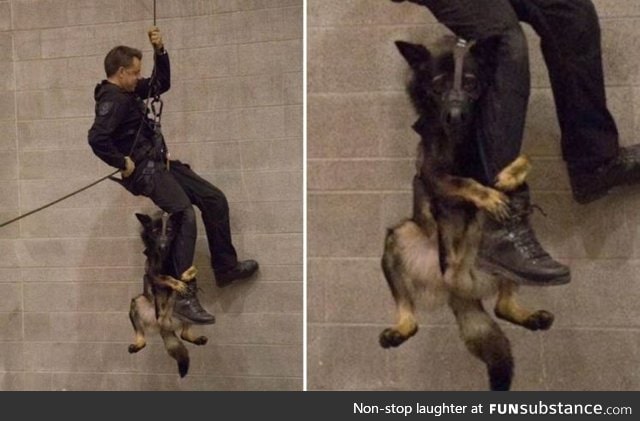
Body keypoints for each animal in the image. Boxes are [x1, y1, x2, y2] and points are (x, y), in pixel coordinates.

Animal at [125, 213, 205, 378]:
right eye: (155, 232)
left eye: (169, 231)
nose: (163, 247)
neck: (165, 257)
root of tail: (163, 324)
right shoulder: (153, 274)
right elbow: (166, 277)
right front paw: (177, 282)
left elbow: (187, 270)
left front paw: (188, 274)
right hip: (137, 302)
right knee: (143, 339)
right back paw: (136, 345)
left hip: (184, 314)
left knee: (184, 334)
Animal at [380, 37, 556, 388]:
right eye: (438, 87)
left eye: (471, 84)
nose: (456, 116)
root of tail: (457, 288)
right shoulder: (436, 175)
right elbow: (465, 181)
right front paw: (489, 196)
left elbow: (525, 157)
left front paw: (510, 177)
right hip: (401, 237)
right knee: (411, 313)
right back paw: (400, 328)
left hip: (505, 265)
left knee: (503, 306)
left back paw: (527, 315)